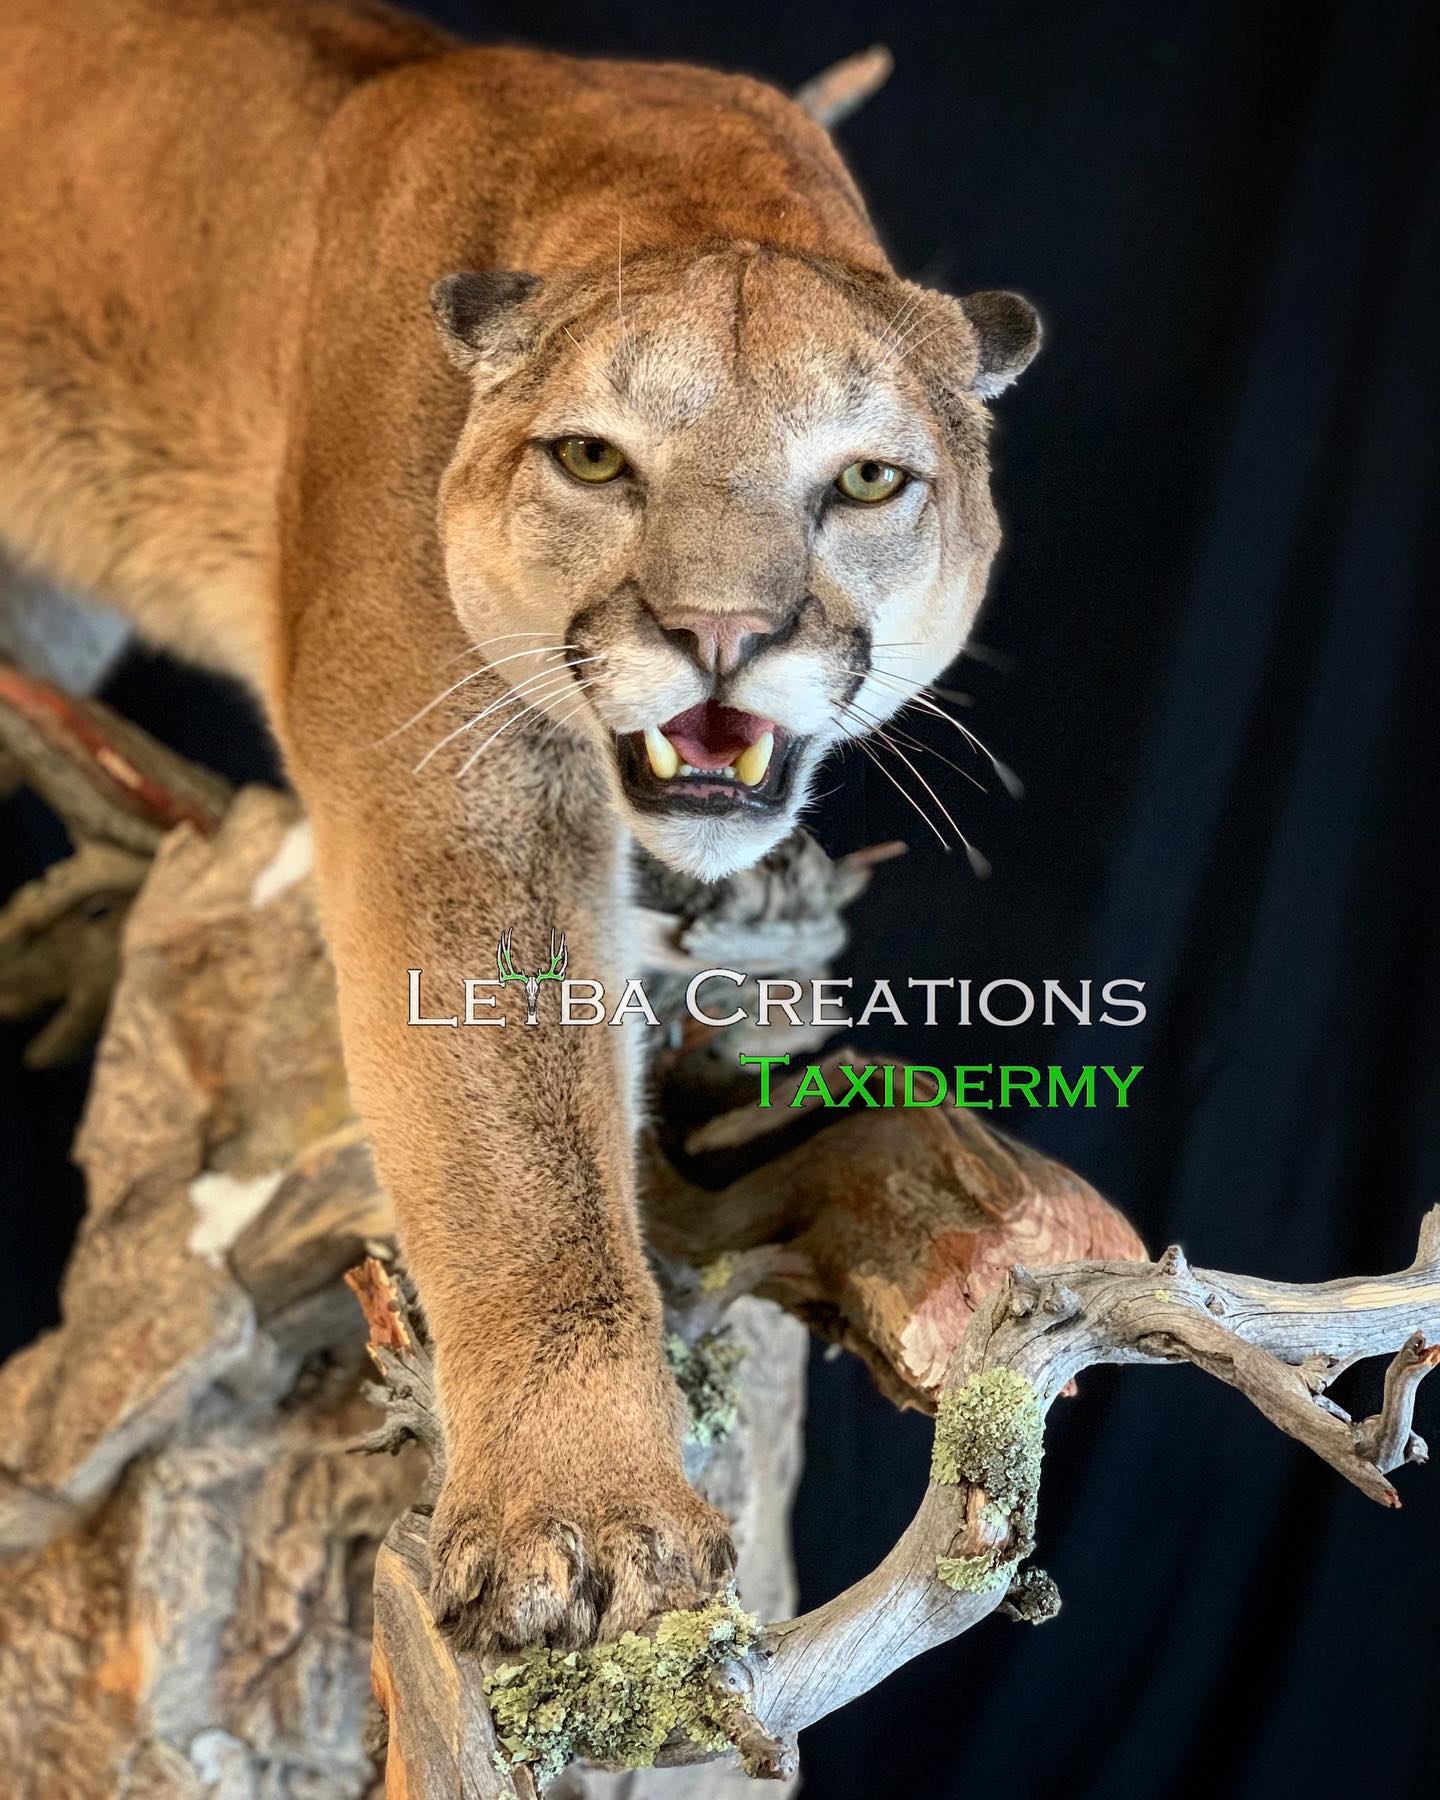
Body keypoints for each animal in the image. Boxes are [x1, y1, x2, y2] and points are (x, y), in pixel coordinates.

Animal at [0, 0, 1039, 1650]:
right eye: (594, 459)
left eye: (869, 479)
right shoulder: (448, 787)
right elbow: (523, 1160)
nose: (721, 634)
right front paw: (584, 1518)